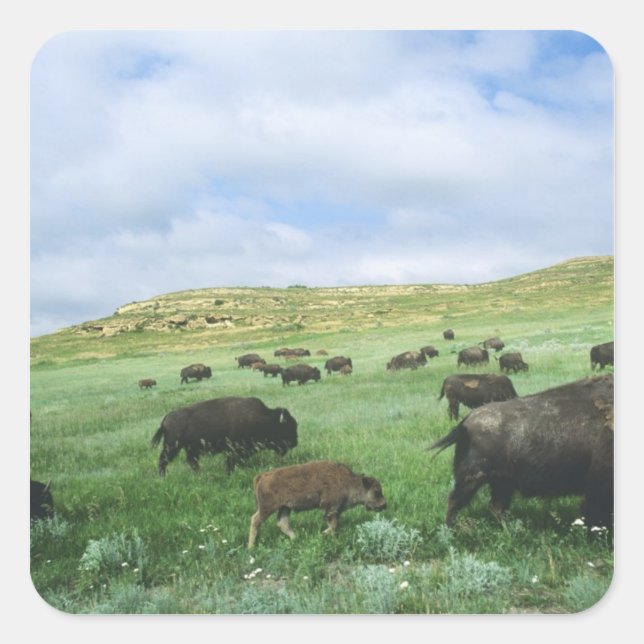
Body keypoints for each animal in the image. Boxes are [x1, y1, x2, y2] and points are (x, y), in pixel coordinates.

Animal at [151, 396, 298, 475]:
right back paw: (162, 477)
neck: (264, 418)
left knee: (192, 462)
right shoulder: (232, 449)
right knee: (163, 460)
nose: (295, 442)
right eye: (287, 427)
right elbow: (231, 462)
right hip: (172, 447)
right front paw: (230, 473)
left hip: (191, 449)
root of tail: (166, 418)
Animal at [248, 461, 387, 548]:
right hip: (267, 508)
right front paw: (322, 535)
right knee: (255, 520)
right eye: (376, 491)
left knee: (282, 523)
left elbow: (335, 525)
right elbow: (334, 525)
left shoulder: (336, 510)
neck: (349, 482)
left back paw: (296, 539)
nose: (384, 505)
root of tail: (261, 476)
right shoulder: (331, 508)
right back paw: (251, 547)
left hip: (285, 508)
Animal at [429, 374, 614, 527]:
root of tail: (466, 423)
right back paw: (451, 531)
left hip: (501, 483)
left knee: (495, 508)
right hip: (472, 479)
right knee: (454, 502)